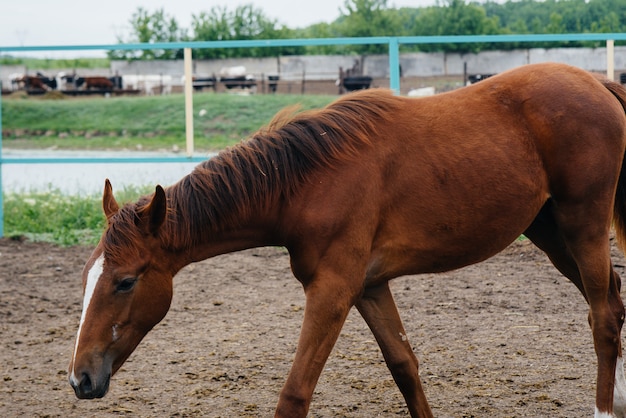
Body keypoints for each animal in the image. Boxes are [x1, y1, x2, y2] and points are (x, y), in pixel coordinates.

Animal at [70, 62, 624, 418]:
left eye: (124, 282)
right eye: (86, 279)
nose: (80, 378)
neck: (305, 183)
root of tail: (594, 81)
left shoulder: (332, 291)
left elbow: (295, 393)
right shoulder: (369, 287)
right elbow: (404, 367)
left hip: (584, 226)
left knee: (601, 316)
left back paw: (602, 408)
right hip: (550, 234)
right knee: (614, 306)